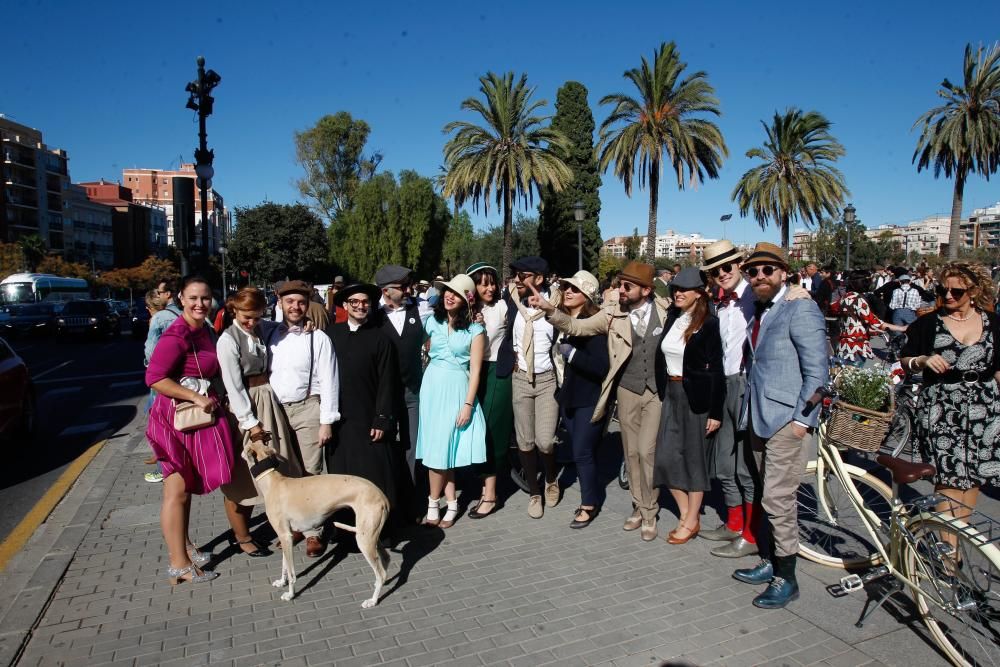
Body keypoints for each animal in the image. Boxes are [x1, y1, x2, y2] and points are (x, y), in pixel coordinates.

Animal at [242, 440, 390, 608]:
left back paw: (372, 600)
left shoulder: (285, 536)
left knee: (381, 573)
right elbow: (284, 564)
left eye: (246, 445)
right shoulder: (285, 536)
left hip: (364, 540)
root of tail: (383, 497)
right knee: (386, 560)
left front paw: (290, 594)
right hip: (371, 534)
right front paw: (281, 582)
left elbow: (292, 572)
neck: (273, 482)